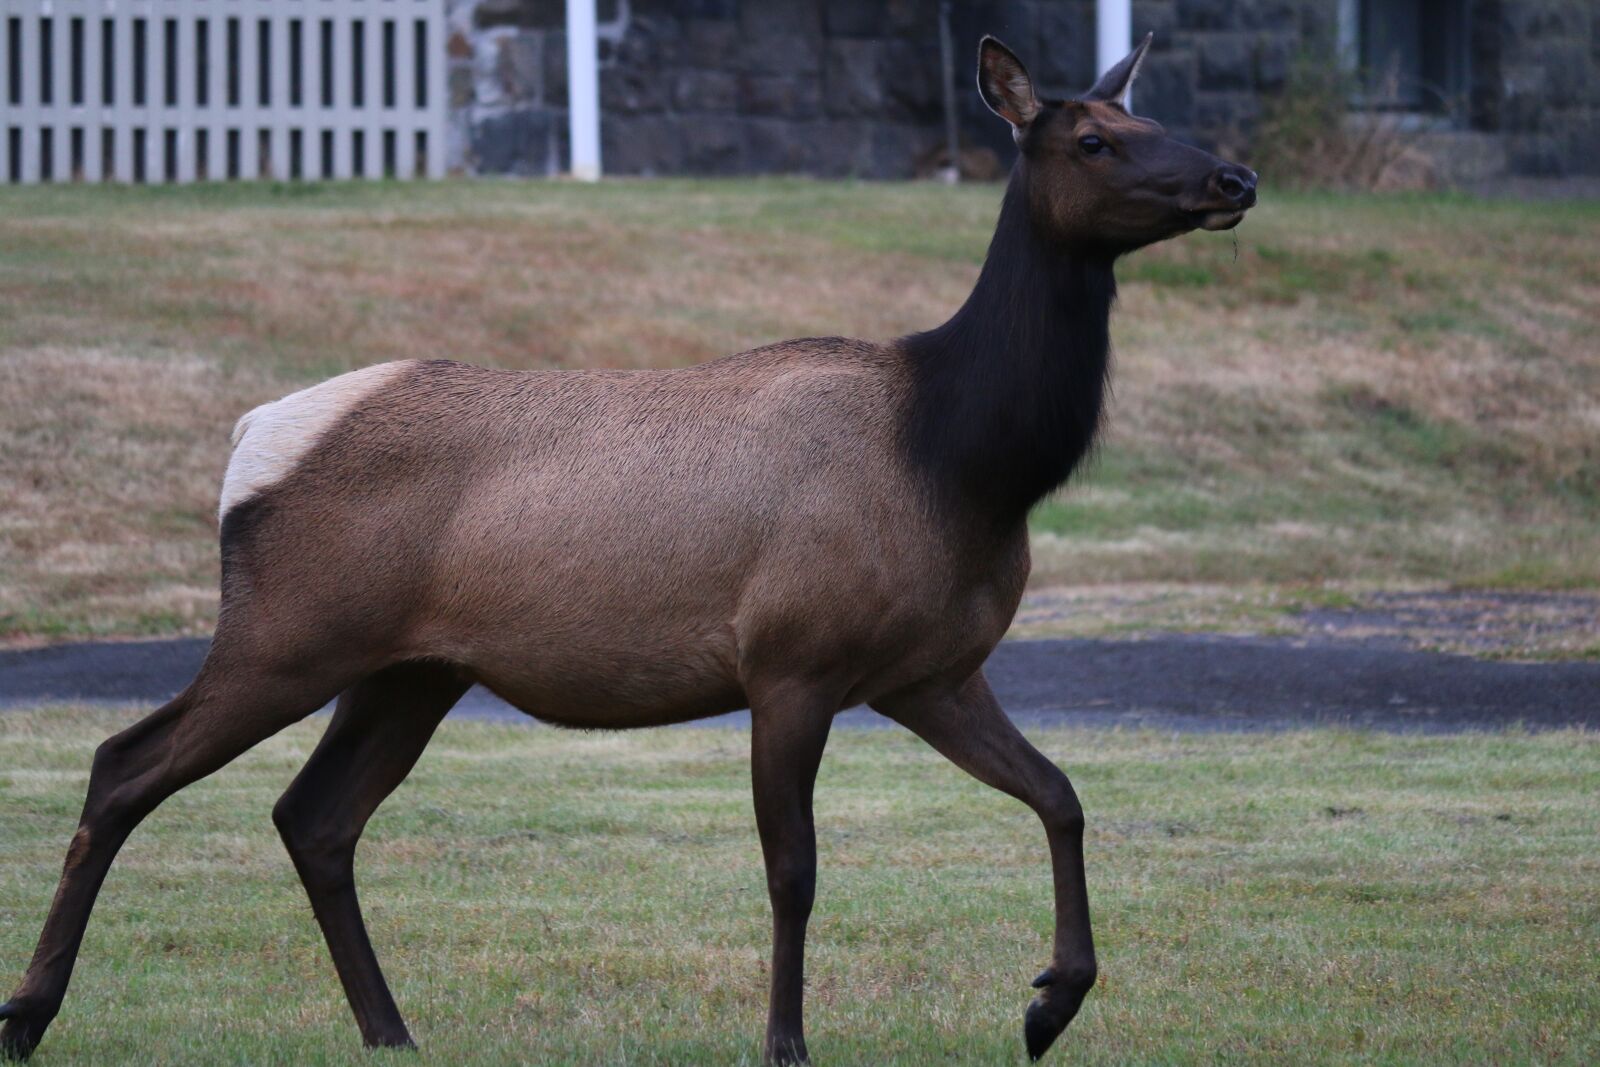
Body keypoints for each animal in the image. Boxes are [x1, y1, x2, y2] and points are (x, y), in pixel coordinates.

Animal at [0, 34, 1255, 1064]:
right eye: (1094, 137)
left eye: (1152, 115)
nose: (1233, 177)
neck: (966, 463)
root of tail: (248, 444)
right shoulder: (789, 658)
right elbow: (793, 869)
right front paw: (787, 1042)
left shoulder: (931, 669)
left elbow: (1061, 794)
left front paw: (1050, 1000)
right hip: (288, 630)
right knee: (125, 763)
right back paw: (30, 1012)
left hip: (410, 669)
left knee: (313, 815)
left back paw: (391, 1028)